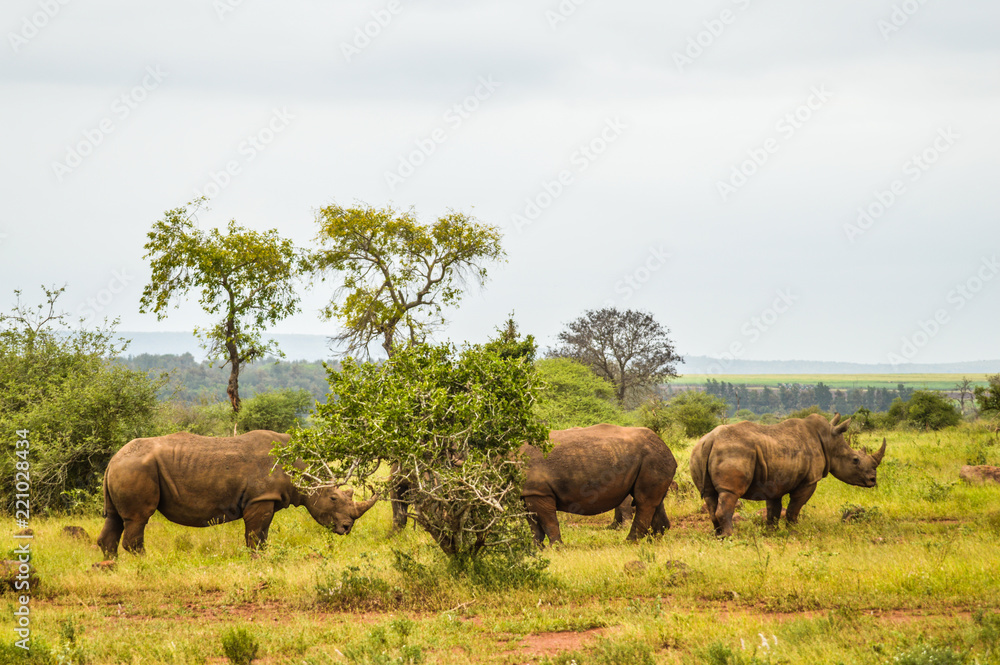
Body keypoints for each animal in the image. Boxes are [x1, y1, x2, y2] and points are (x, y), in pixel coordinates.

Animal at [97, 430, 377, 557]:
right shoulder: (260, 498)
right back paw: (146, 563)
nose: (347, 528)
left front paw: (262, 558)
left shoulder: (266, 499)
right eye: (333, 499)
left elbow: (262, 535)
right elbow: (255, 536)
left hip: (125, 468)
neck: (302, 471)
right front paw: (257, 560)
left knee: (114, 518)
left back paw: (113, 568)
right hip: (134, 468)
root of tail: (113, 459)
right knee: (138, 519)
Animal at [521, 424, 677, 545]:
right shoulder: (528, 493)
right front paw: (536, 549)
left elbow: (549, 522)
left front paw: (556, 548)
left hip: (652, 458)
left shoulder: (538, 492)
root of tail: (665, 446)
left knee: (643, 501)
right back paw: (654, 541)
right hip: (652, 459)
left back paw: (629, 543)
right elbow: (534, 525)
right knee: (654, 501)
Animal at [690, 414, 886, 537]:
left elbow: (774, 509)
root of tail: (710, 440)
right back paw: (730, 537)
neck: (829, 441)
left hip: (698, 451)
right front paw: (794, 532)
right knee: (729, 493)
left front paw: (771, 533)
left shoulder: (772, 481)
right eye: (855, 460)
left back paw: (718, 536)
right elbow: (794, 509)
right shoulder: (809, 481)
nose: (873, 480)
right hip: (734, 452)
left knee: (710, 496)